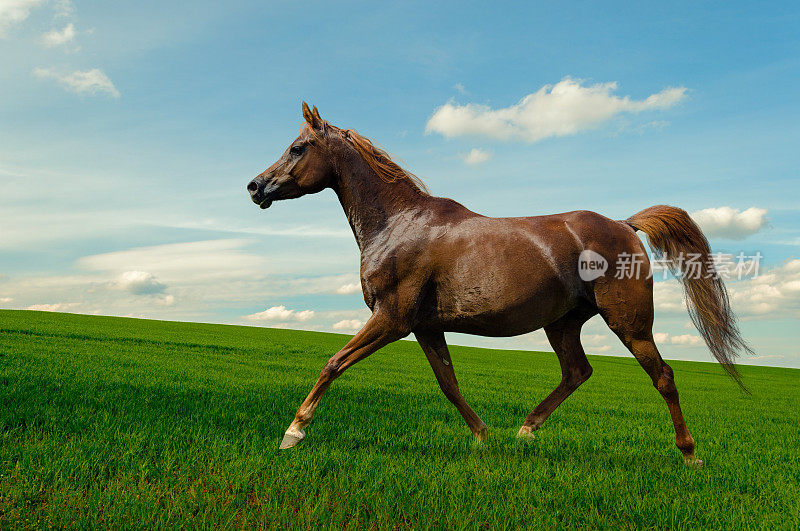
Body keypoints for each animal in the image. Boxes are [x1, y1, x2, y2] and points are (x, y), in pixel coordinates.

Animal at [245, 102, 752, 468]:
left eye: (297, 148)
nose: (255, 186)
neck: (399, 225)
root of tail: (625, 225)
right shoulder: (425, 326)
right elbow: (448, 383)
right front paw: (483, 436)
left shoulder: (391, 318)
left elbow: (333, 363)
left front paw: (293, 432)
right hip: (562, 324)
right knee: (577, 372)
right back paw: (525, 431)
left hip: (629, 323)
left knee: (662, 377)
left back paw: (689, 454)